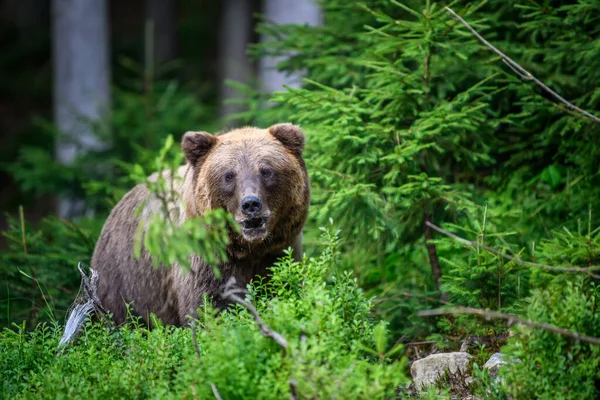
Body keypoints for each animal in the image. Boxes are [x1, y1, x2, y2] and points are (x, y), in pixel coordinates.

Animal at [94, 124, 312, 324]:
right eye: (229, 175)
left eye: (266, 171)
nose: (250, 204)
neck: (250, 248)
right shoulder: (208, 256)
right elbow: (208, 304)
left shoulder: (280, 249)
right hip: (125, 281)